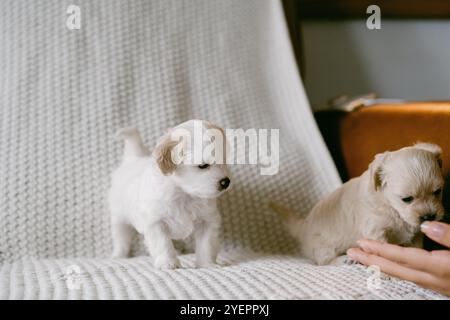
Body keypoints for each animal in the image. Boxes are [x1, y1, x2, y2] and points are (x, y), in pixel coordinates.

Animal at [108, 120, 229, 270]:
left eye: (224, 161)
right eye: (203, 166)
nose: (226, 182)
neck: (183, 194)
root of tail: (133, 159)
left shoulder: (207, 221)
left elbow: (207, 245)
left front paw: (208, 264)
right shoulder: (156, 222)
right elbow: (163, 243)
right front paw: (168, 262)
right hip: (119, 218)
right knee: (121, 238)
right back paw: (118, 255)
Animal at [268, 142, 444, 264]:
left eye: (438, 191)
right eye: (407, 199)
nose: (429, 216)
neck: (390, 206)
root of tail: (303, 226)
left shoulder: (416, 233)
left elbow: (417, 246)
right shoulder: (375, 230)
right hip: (322, 247)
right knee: (325, 261)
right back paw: (345, 259)